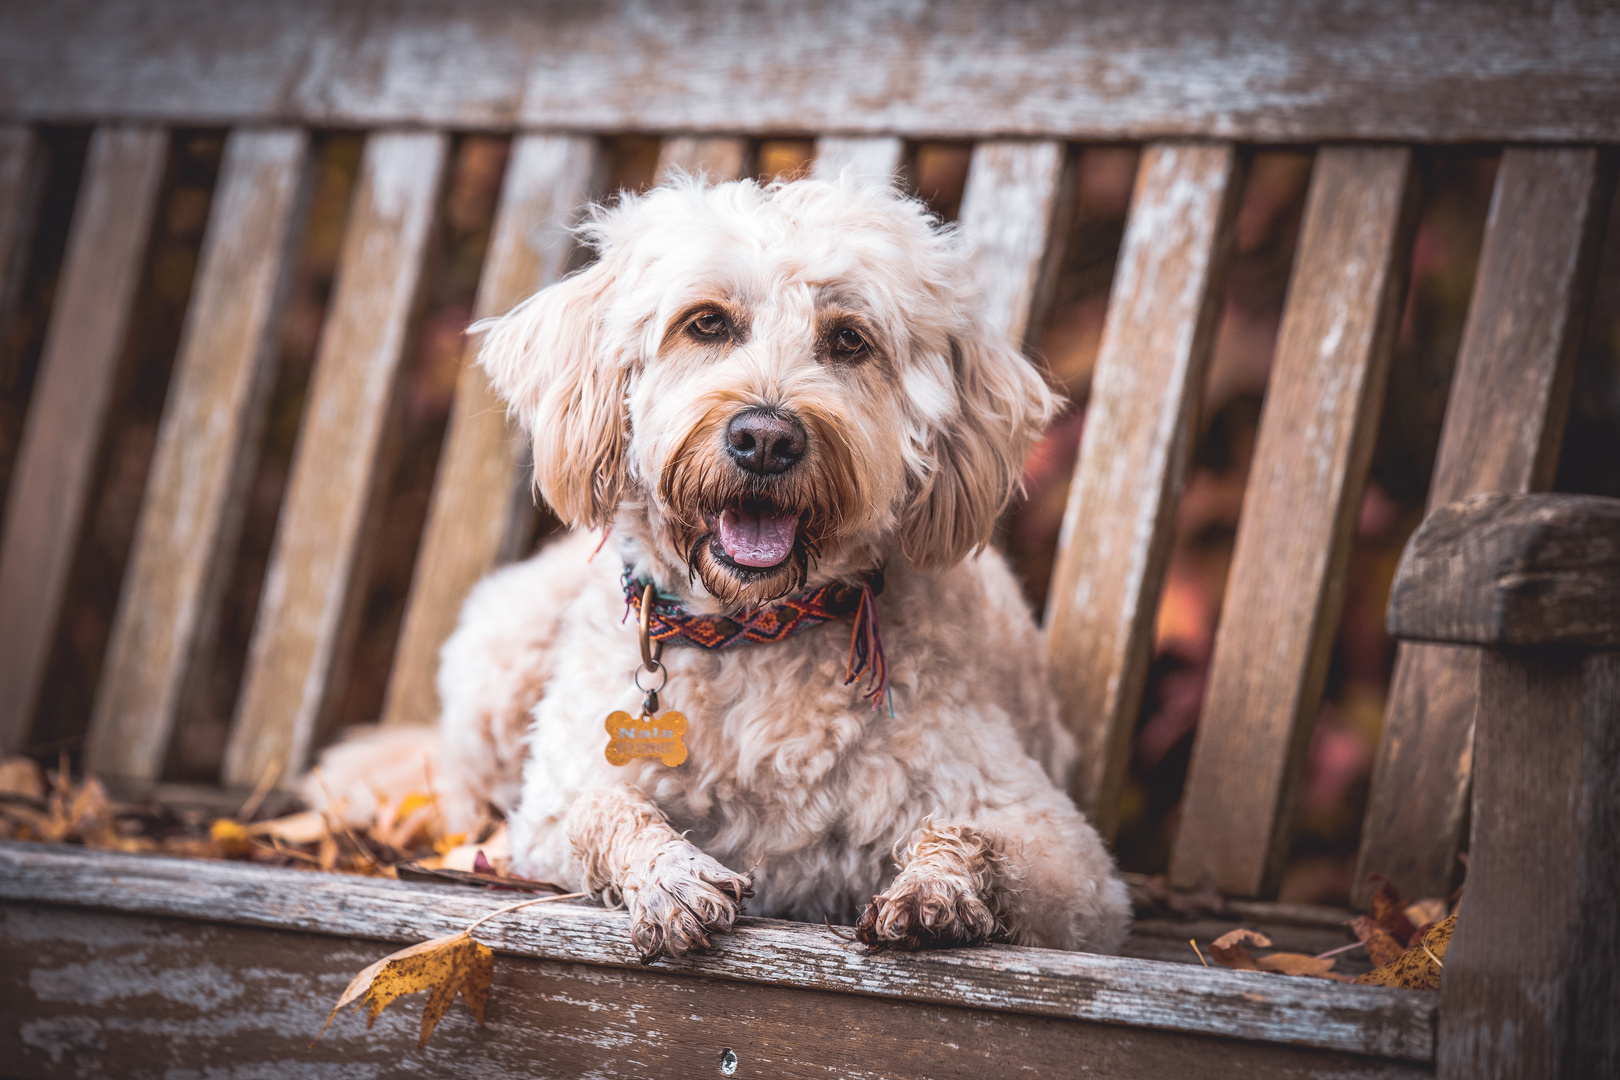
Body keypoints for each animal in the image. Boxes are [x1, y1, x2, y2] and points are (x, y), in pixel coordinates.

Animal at [312, 175, 1127, 965]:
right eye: (706, 323)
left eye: (849, 339)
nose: (765, 438)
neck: (752, 630)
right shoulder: (548, 812)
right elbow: (605, 809)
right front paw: (671, 878)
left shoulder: (1066, 852)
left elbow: (976, 837)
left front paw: (938, 890)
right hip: (501, 657)